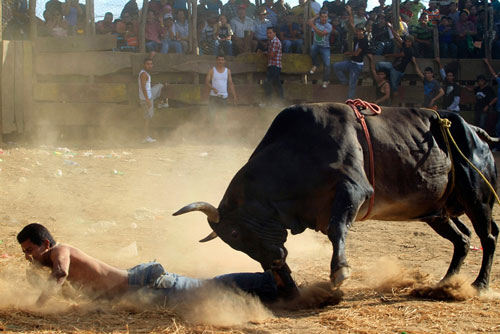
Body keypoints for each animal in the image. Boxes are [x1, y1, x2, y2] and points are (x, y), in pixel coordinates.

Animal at [174, 103, 498, 292]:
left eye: (235, 232)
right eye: (234, 242)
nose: (274, 261)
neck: (300, 148)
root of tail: (475, 130)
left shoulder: (353, 189)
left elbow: (336, 228)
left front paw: (340, 270)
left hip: (477, 199)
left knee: (488, 236)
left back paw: (479, 284)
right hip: (436, 213)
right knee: (463, 239)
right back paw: (446, 283)